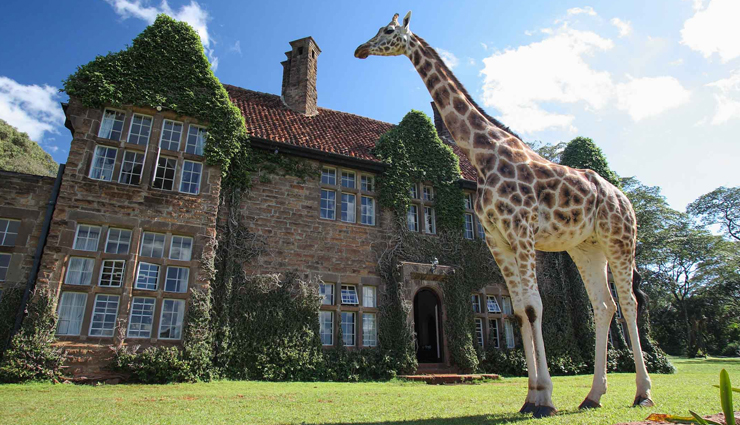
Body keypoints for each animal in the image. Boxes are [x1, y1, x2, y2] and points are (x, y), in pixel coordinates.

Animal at [355, 12, 654, 418]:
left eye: (387, 31)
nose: (360, 49)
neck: (482, 153)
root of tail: (626, 198)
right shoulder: (497, 240)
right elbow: (518, 311)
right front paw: (532, 397)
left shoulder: (522, 231)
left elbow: (532, 306)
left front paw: (545, 399)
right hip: (585, 248)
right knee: (603, 306)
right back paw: (593, 396)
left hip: (621, 241)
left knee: (629, 303)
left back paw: (643, 393)